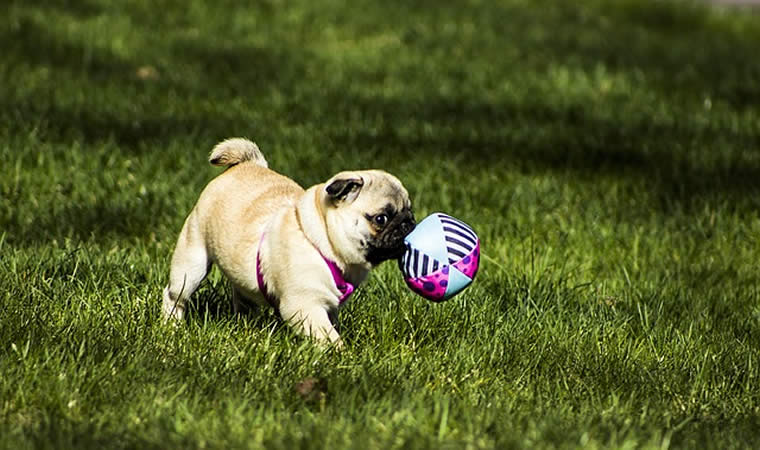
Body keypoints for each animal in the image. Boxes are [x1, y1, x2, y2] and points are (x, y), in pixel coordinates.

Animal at [161, 139, 418, 346]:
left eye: (410, 210)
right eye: (381, 218)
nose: (409, 222)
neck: (321, 241)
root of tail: (247, 164)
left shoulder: (328, 307)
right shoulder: (305, 307)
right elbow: (329, 336)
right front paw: (341, 355)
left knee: (242, 298)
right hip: (192, 263)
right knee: (174, 295)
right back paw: (171, 326)